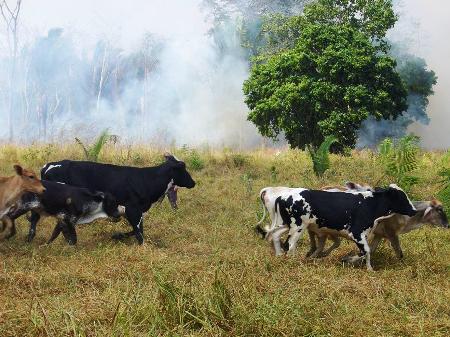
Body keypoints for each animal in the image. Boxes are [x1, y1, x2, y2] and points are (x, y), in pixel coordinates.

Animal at [40, 153, 197, 244]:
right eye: (183, 168)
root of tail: (48, 165)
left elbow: (136, 230)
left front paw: (118, 236)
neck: (146, 179)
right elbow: (139, 233)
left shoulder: (134, 212)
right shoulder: (133, 209)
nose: (193, 182)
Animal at [264, 184, 414, 270]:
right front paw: (367, 268)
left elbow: (365, 251)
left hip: (287, 224)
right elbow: (366, 251)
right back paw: (294, 262)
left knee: (276, 234)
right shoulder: (357, 233)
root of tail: (283, 196)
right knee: (290, 245)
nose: (414, 210)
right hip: (297, 227)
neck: (369, 204)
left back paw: (279, 255)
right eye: (402, 197)